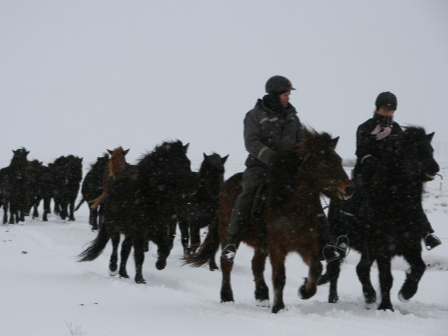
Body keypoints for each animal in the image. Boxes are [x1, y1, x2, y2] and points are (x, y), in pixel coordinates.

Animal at [79, 140, 194, 284]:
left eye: (188, 163)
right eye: (176, 163)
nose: (192, 187)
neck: (147, 194)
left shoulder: (157, 230)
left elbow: (165, 247)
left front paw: (160, 264)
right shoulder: (139, 231)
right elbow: (139, 255)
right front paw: (140, 279)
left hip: (128, 233)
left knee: (125, 249)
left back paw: (123, 273)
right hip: (114, 227)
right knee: (116, 245)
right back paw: (113, 268)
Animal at [184, 130, 356, 314]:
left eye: (339, 160)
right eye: (325, 162)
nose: (349, 188)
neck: (292, 207)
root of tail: (224, 187)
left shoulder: (306, 245)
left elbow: (316, 268)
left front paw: (304, 290)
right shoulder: (276, 248)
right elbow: (279, 277)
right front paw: (279, 307)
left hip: (260, 245)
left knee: (256, 265)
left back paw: (262, 295)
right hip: (226, 234)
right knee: (227, 263)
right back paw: (227, 296)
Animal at [320, 126, 440, 312]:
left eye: (431, 149)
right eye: (413, 150)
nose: (434, 167)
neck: (396, 206)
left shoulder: (411, 245)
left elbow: (419, 268)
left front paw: (406, 292)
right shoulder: (383, 248)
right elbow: (386, 278)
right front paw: (386, 307)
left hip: (368, 248)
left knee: (361, 269)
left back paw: (369, 295)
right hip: (340, 242)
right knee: (335, 269)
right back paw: (334, 298)